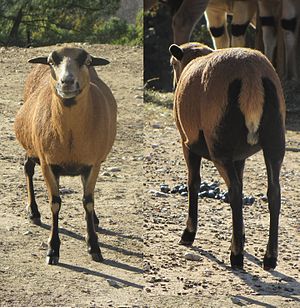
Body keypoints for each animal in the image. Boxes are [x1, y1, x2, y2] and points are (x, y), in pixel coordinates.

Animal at [14, 47, 117, 264]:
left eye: (87, 61)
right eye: (51, 61)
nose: (67, 81)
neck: (70, 135)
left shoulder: (93, 164)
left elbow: (88, 201)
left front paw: (94, 246)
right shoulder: (48, 164)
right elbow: (55, 203)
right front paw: (53, 250)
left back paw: (94, 220)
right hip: (32, 146)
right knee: (27, 168)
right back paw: (33, 212)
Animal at [169, 41, 286, 270]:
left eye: (172, 65)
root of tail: (251, 74)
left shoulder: (188, 144)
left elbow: (193, 183)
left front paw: (188, 234)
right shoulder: (239, 157)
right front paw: (240, 235)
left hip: (219, 147)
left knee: (235, 192)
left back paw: (236, 256)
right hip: (275, 141)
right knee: (273, 193)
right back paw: (269, 258)